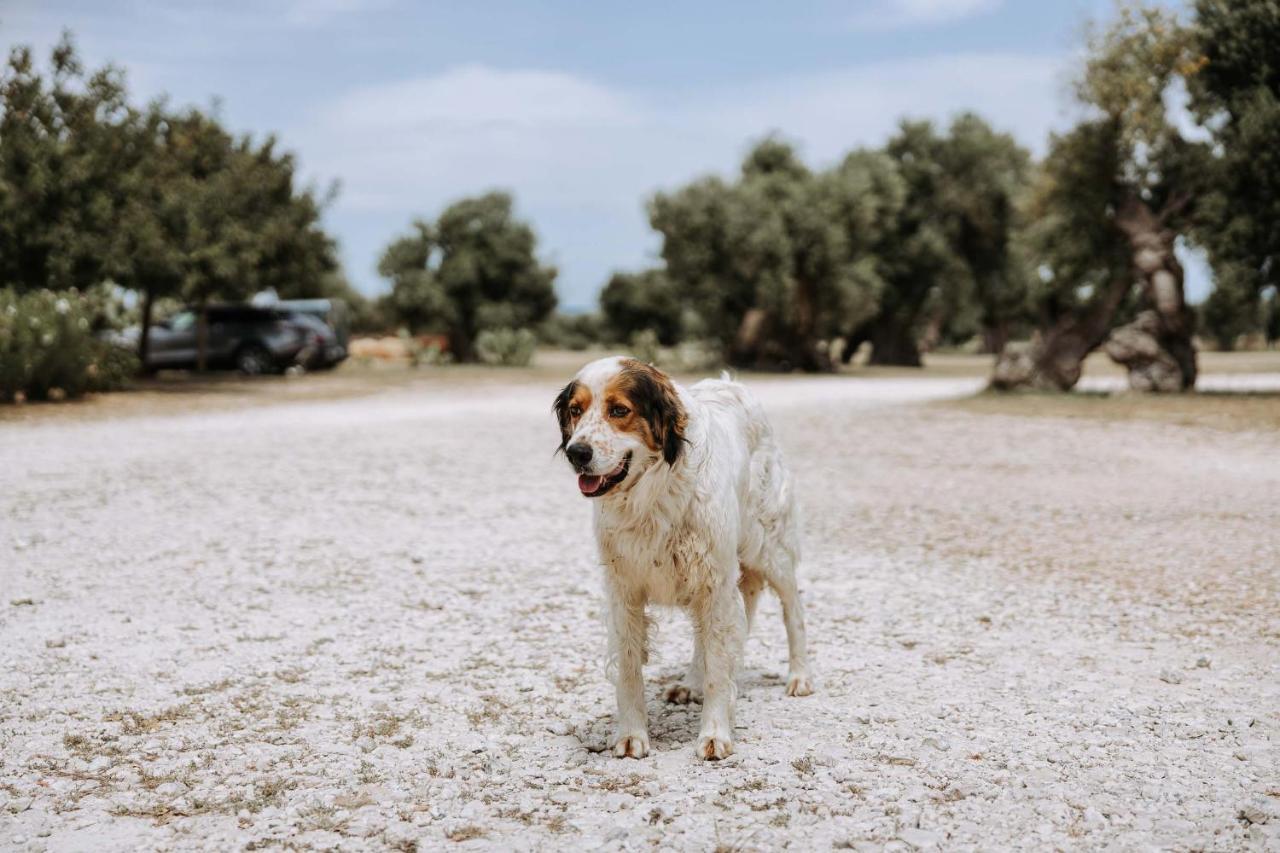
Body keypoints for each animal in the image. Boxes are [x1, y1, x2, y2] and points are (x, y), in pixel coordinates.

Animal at [550, 350, 808, 758]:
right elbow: (629, 670)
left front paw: (715, 734)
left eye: (619, 410)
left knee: (793, 609)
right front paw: (632, 734)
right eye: (576, 410)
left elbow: (720, 667)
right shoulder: (624, 590)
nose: (577, 453)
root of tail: (731, 383)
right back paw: (689, 683)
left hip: (770, 547)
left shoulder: (717, 582)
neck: (652, 494)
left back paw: (799, 675)